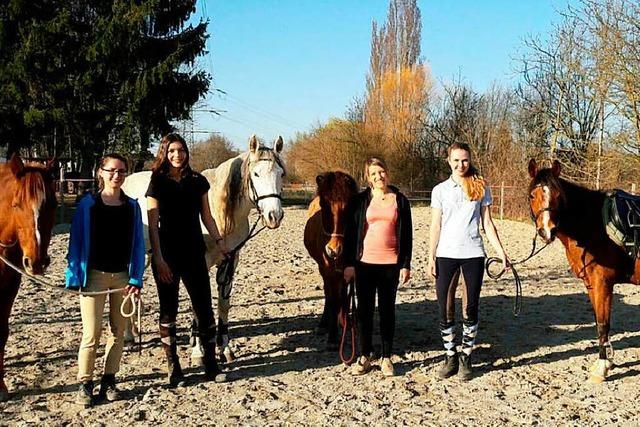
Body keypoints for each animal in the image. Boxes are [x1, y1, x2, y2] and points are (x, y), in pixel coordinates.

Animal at [122, 135, 284, 362]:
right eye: (256, 173)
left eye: (281, 174)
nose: (274, 216)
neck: (219, 214)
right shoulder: (200, 263)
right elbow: (197, 304)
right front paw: (198, 350)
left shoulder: (230, 260)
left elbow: (223, 304)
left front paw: (225, 348)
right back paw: (128, 337)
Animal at [302, 171, 358, 352]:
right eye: (324, 205)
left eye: (349, 206)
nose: (333, 250)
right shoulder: (328, 271)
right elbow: (333, 299)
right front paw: (333, 337)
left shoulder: (348, 269)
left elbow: (343, 296)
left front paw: (345, 322)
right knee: (328, 293)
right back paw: (324, 323)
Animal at [524, 159, 640, 382]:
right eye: (533, 195)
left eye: (558, 195)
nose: (547, 231)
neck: (593, 227)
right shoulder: (591, 285)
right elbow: (598, 322)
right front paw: (607, 362)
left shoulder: (602, 284)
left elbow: (603, 324)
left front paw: (601, 369)